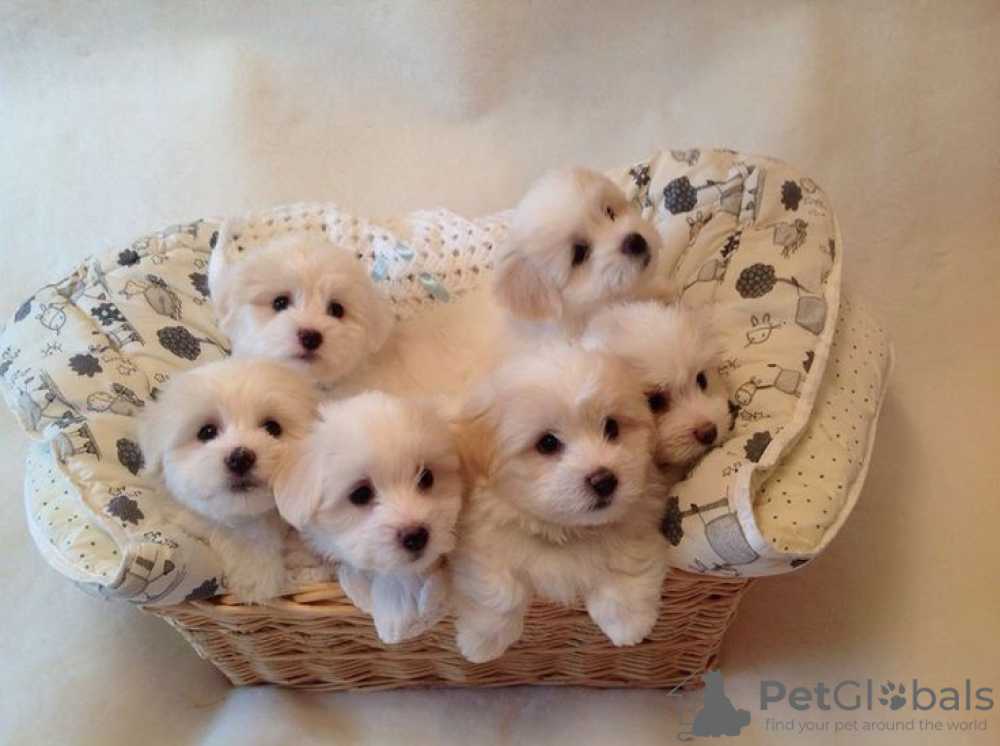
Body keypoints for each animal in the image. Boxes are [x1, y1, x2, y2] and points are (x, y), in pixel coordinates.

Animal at [451, 344, 670, 662]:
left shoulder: (639, 520)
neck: (563, 530)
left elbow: (625, 560)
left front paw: (629, 622)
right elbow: (498, 590)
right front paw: (483, 641)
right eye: (547, 443)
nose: (604, 480)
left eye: (611, 427)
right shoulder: (482, 540)